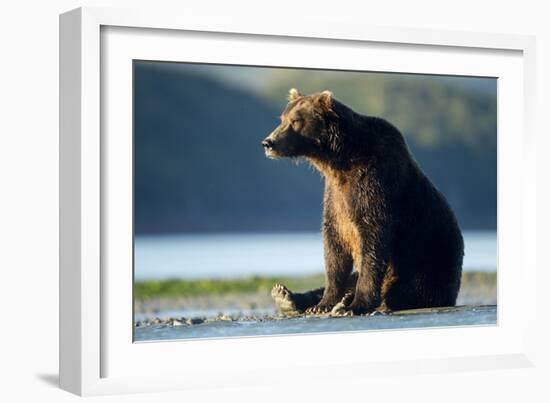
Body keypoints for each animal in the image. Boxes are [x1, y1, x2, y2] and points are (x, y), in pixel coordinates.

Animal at [264, 88, 466, 316]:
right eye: (282, 118)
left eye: (296, 120)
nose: (268, 142)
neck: (338, 161)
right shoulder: (335, 197)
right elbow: (334, 247)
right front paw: (323, 304)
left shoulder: (373, 183)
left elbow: (372, 239)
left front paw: (356, 305)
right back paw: (286, 296)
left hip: (430, 261)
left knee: (409, 289)